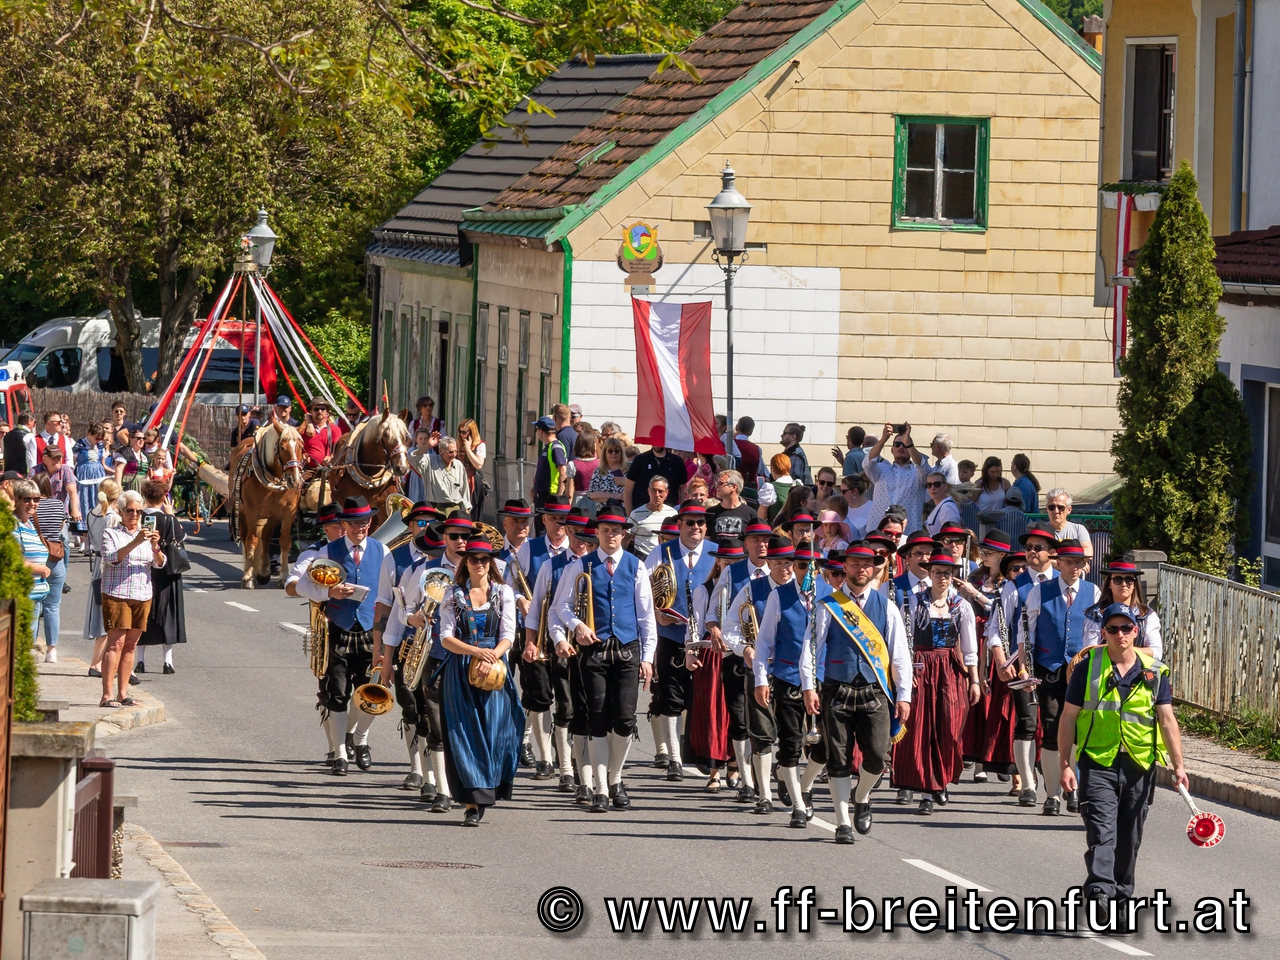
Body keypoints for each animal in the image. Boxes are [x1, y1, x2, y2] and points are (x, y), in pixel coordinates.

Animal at [230, 421, 306, 588]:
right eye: (282, 447)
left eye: (301, 446)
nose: (295, 480)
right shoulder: (251, 513)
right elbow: (251, 540)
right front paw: (248, 577)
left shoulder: (288, 513)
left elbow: (284, 541)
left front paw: (283, 576)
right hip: (243, 512)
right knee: (246, 537)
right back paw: (250, 571)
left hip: (272, 516)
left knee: (266, 536)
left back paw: (264, 572)